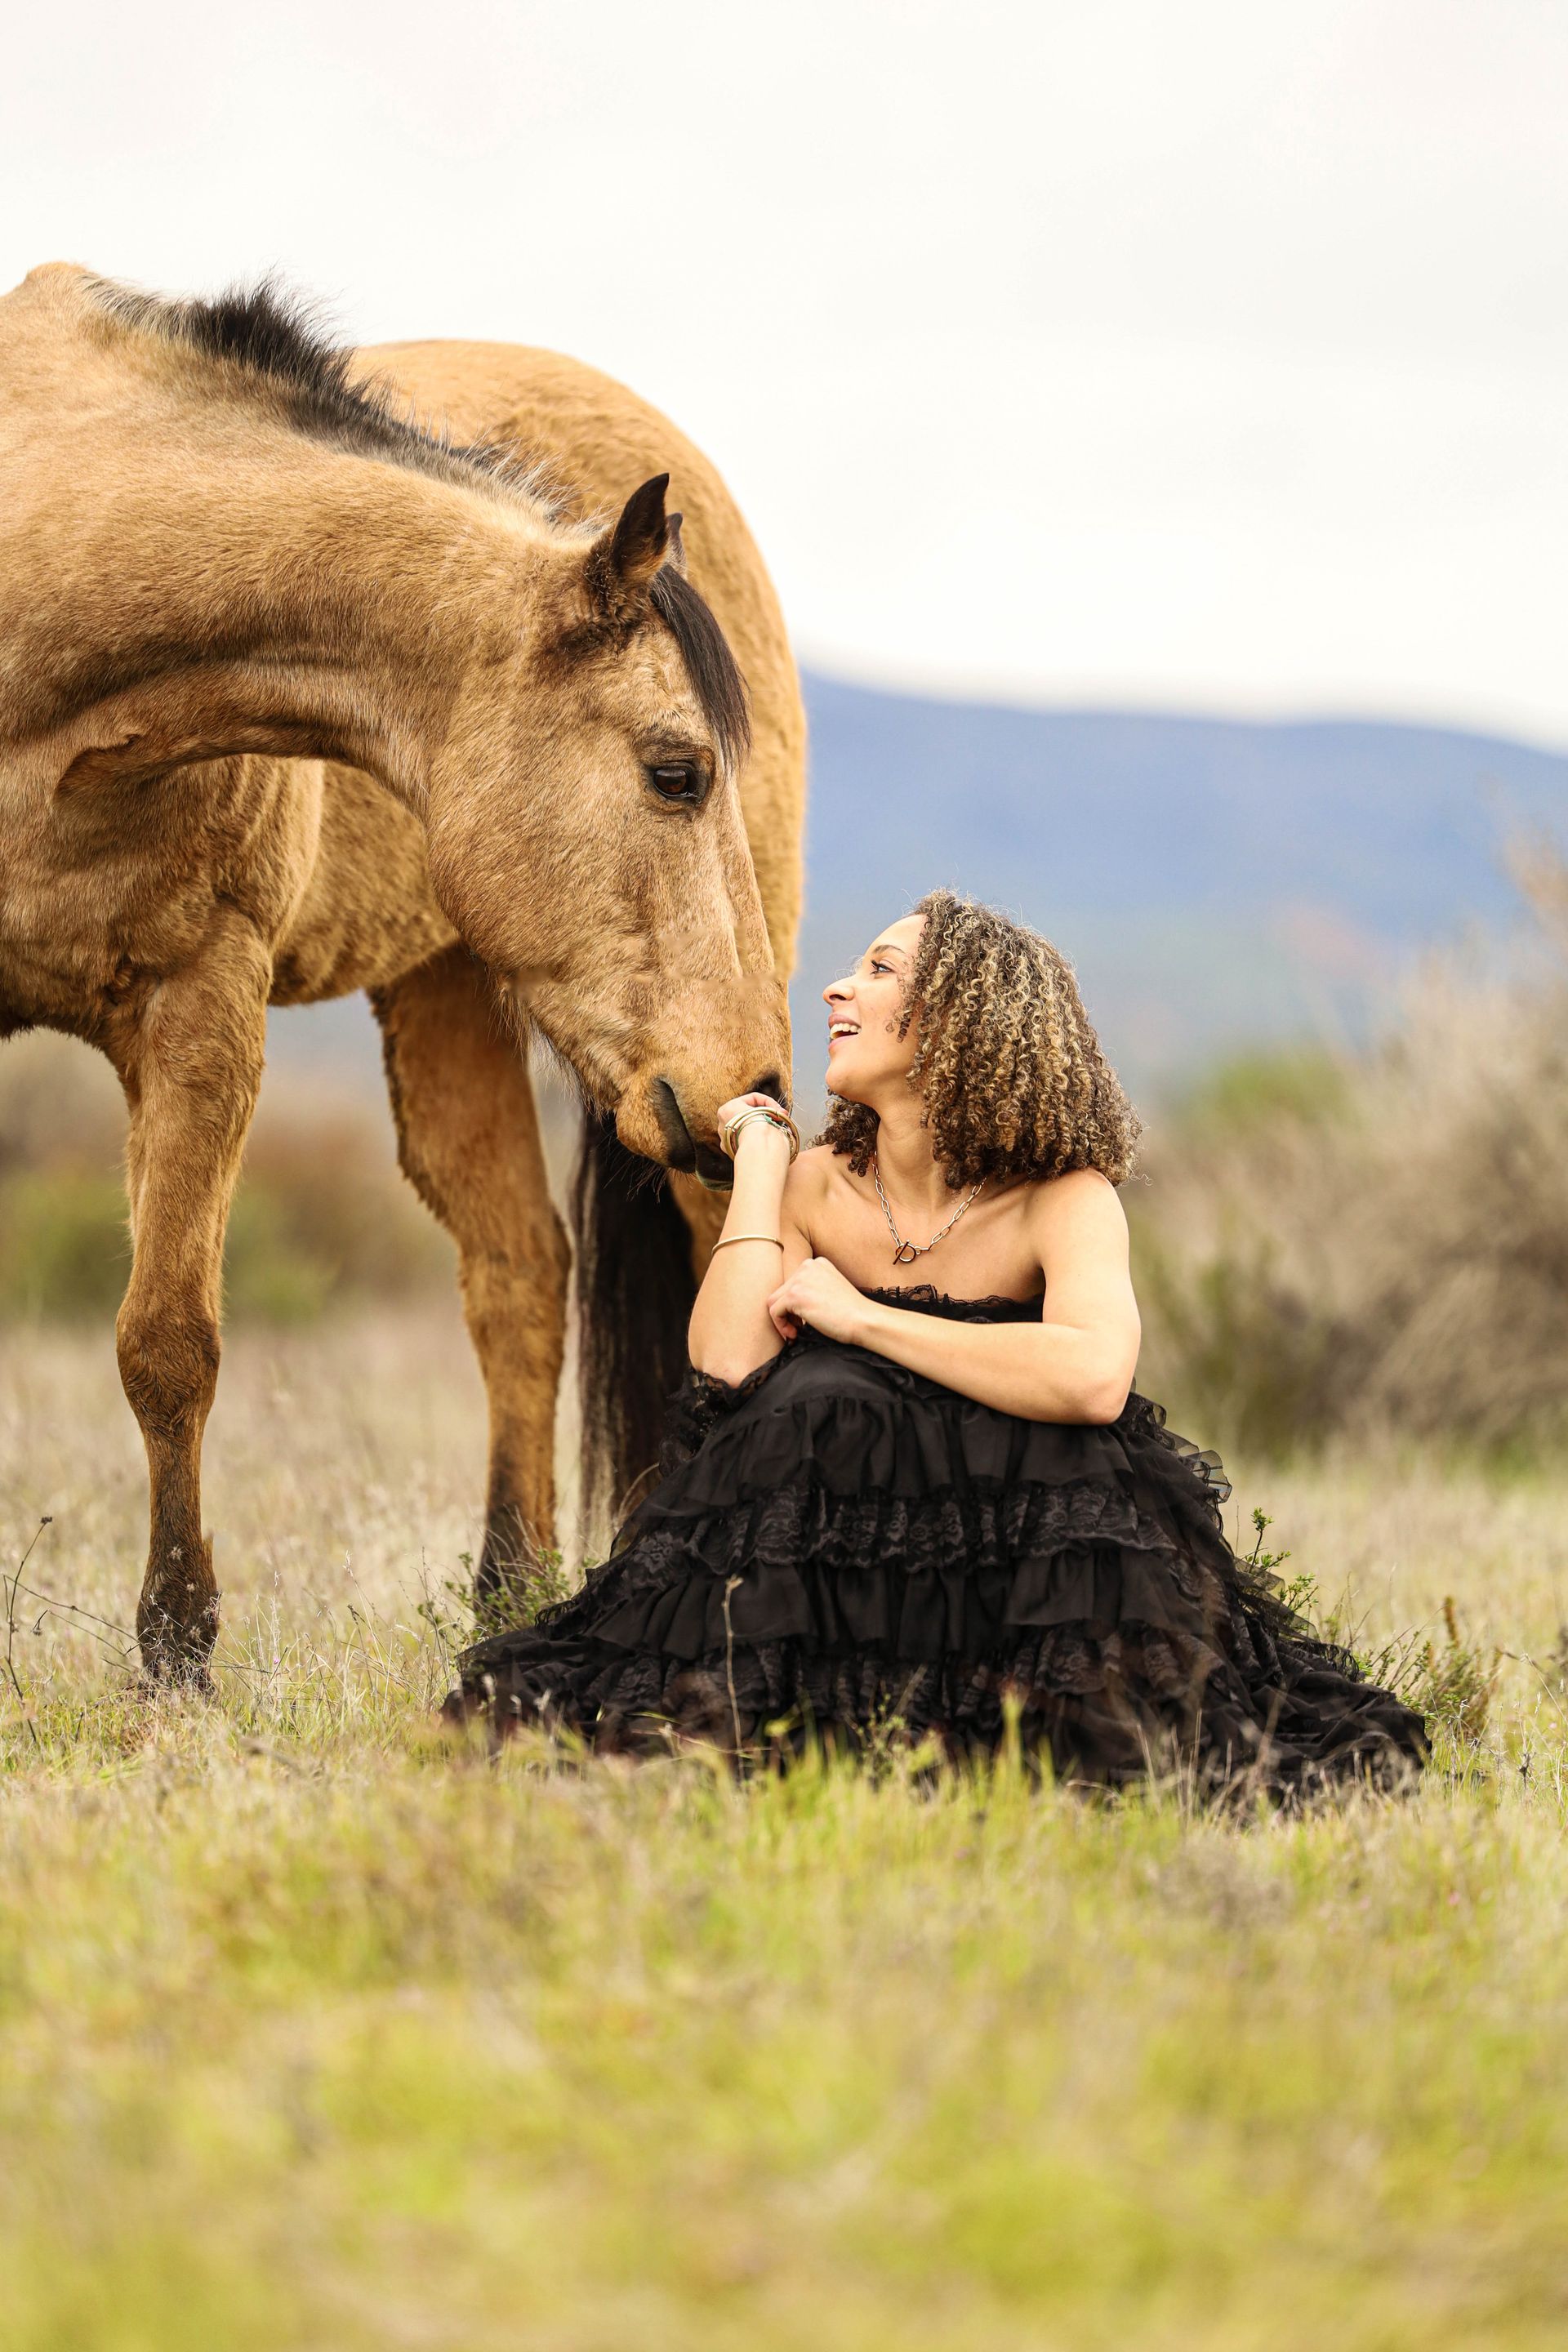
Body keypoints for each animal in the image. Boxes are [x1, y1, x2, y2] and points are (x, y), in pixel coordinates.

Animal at [0, 264, 804, 1681]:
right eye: (675, 771)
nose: (742, 1077)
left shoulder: (201, 1006)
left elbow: (169, 1342)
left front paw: (177, 1650)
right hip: (456, 1003)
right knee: (520, 1273)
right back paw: (508, 1588)